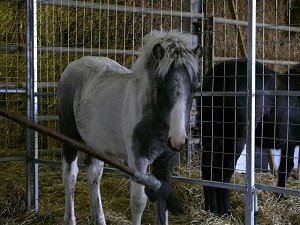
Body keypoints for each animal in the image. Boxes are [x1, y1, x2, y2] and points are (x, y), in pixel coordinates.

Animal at [57, 30, 203, 225]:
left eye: (194, 88)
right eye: (159, 88)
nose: (177, 141)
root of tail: (73, 65)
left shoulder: (166, 161)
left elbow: (162, 200)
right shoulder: (138, 159)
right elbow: (138, 202)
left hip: (97, 144)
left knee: (94, 175)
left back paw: (100, 219)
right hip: (70, 136)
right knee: (70, 176)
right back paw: (70, 219)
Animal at [199, 59, 300, 214]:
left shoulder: (289, 143)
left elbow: (285, 167)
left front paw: (279, 196)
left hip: (211, 133)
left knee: (208, 167)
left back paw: (211, 208)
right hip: (235, 138)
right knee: (225, 169)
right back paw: (225, 210)